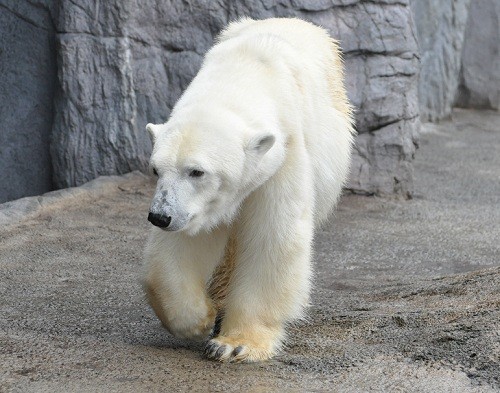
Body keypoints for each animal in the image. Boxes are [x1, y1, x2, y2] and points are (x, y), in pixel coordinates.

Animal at [142, 17, 356, 362]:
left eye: (197, 171)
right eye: (156, 169)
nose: (160, 216)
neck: (245, 72)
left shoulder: (283, 155)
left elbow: (273, 238)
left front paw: (235, 343)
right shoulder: (196, 205)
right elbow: (184, 243)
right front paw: (198, 319)